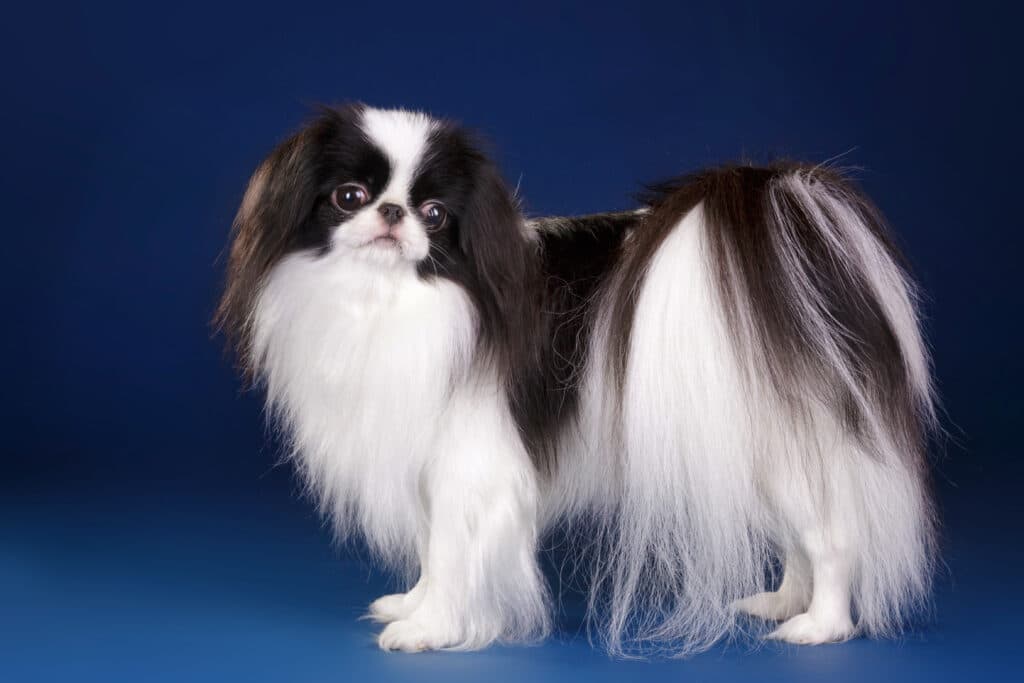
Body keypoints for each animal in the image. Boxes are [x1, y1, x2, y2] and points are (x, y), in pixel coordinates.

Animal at [216, 104, 937, 655]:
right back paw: (783, 602)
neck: (385, 299)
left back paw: (821, 626)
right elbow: (431, 547)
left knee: (832, 537)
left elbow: (451, 551)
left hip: (780, 453)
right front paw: (414, 604)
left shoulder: (470, 465)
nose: (393, 214)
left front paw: (431, 629)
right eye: (351, 197)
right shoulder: (428, 458)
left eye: (434, 213)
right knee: (800, 540)